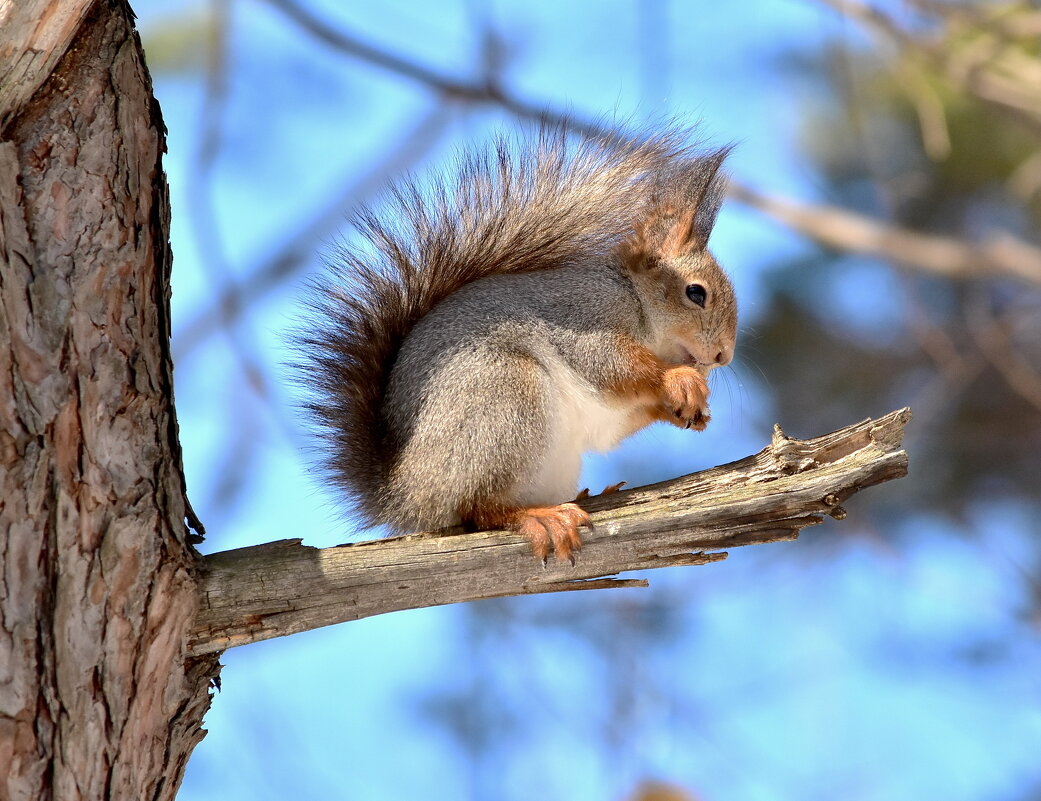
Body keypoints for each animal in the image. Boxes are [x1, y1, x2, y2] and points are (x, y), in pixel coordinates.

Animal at [301, 124, 737, 562]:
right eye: (696, 293)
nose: (723, 356)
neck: (636, 299)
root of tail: (402, 494)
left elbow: (614, 427)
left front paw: (689, 411)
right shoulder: (585, 314)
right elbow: (606, 361)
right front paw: (679, 380)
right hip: (505, 393)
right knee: (478, 510)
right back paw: (539, 517)